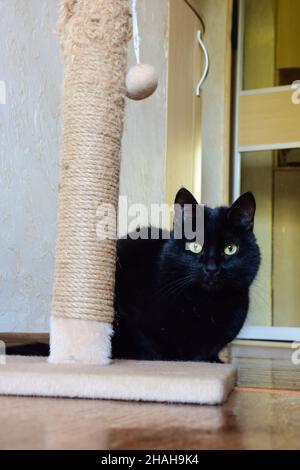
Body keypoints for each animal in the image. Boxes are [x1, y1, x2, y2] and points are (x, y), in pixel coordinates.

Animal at [112, 189, 260, 362]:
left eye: (230, 249)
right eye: (195, 246)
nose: (211, 268)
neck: (205, 303)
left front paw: (215, 360)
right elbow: (148, 344)